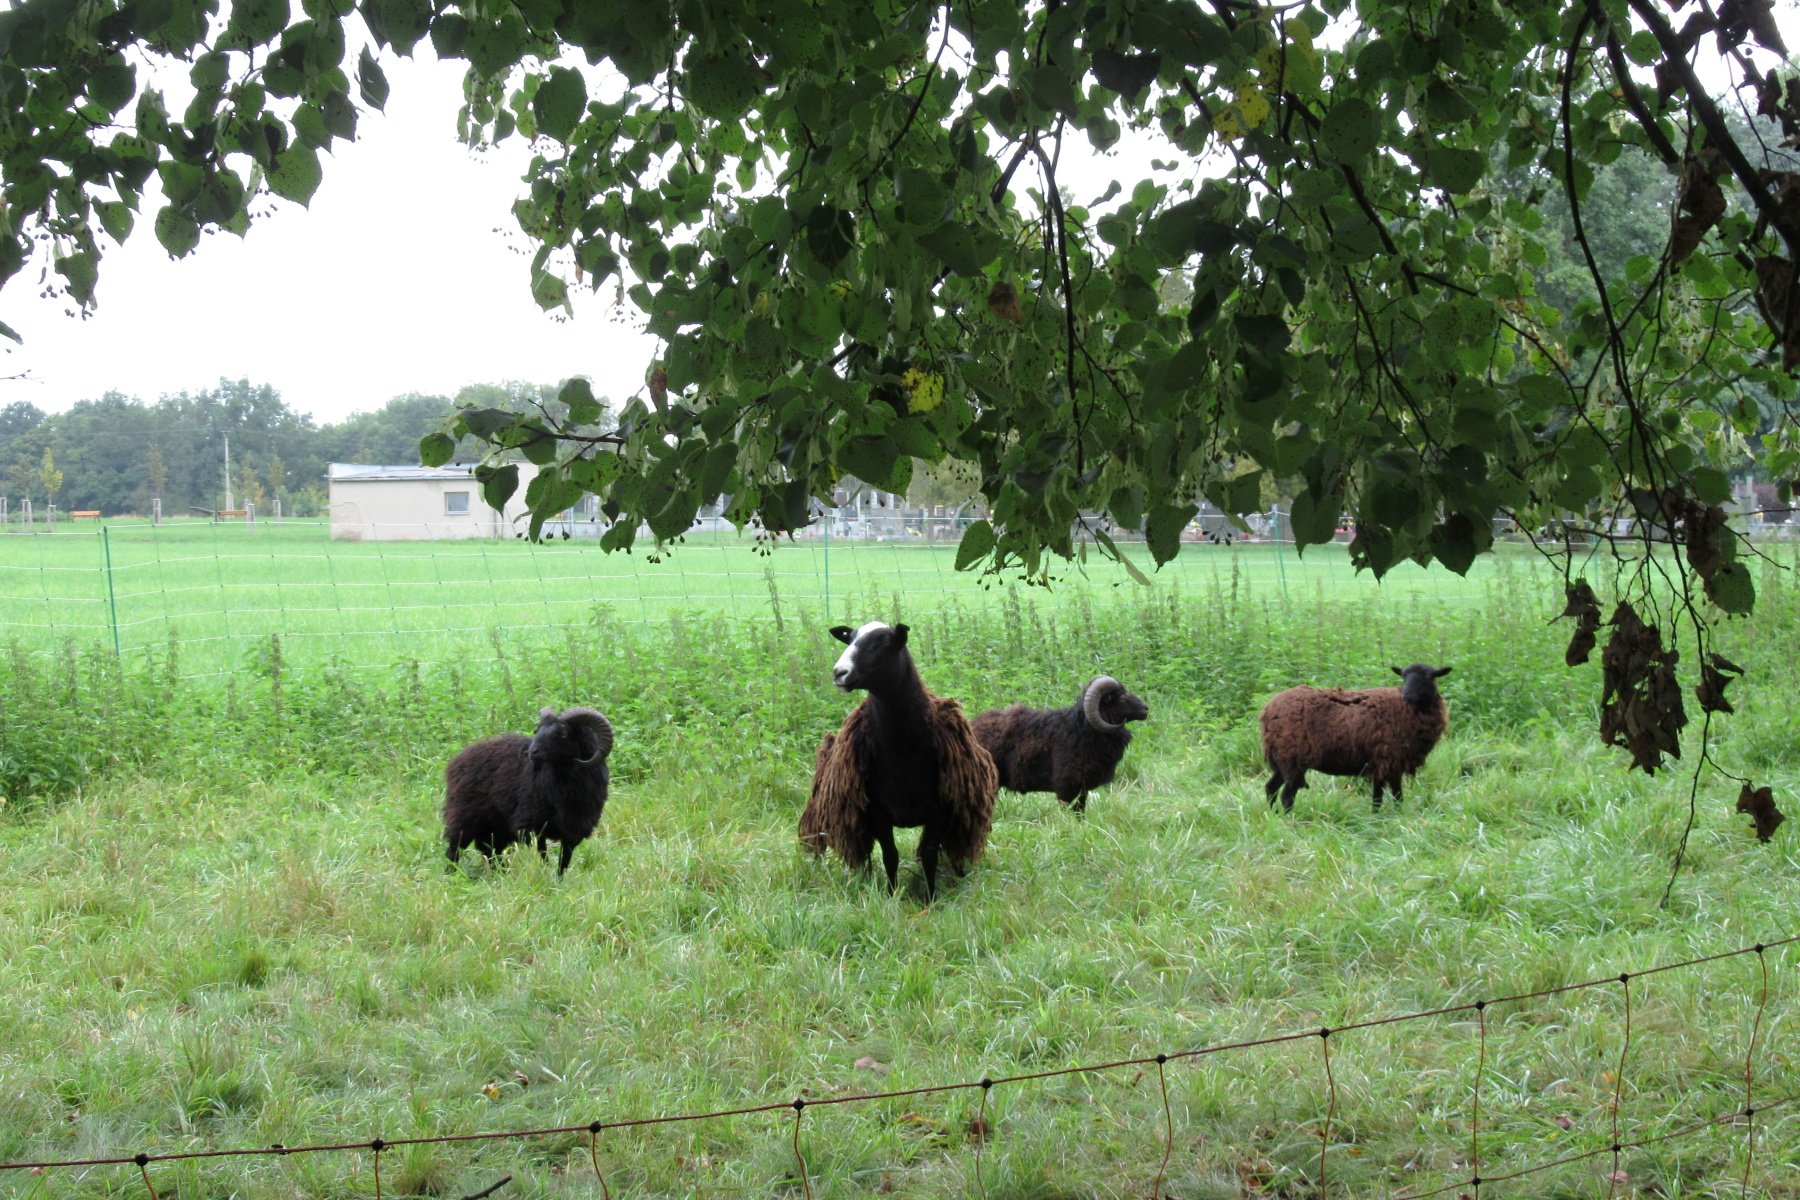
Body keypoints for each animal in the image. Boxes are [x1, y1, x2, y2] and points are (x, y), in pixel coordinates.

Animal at [444, 706, 615, 874]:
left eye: (563, 733)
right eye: (537, 730)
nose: (531, 752)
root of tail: (457, 759)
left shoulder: (573, 831)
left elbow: (563, 863)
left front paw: (558, 880)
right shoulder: (532, 827)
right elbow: (543, 858)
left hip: (495, 827)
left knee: (491, 851)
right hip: (464, 816)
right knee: (454, 848)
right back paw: (452, 875)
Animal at [798, 621, 998, 897]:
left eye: (883, 642)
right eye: (850, 638)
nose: (839, 673)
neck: (902, 752)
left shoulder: (940, 808)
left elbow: (928, 856)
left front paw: (930, 898)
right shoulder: (877, 810)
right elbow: (890, 856)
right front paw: (891, 896)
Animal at [970, 676, 1150, 813]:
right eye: (1122, 697)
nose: (1146, 709)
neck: (1083, 730)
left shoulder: (1082, 789)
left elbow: (1080, 812)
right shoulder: (1066, 787)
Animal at [1260, 663, 1451, 813]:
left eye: (1428, 676)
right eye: (1403, 676)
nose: (1407, 695)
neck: (1408, 709)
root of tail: (1268, 711)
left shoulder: (1381, 763)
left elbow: (1380, 797)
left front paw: (1377, 818)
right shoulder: (1390, 761)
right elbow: (1395, 796)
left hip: (1282, 759)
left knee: (1270, 788)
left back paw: (1274, 816)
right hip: (1293, 759)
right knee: (1286, 796)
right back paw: (1290, 821)